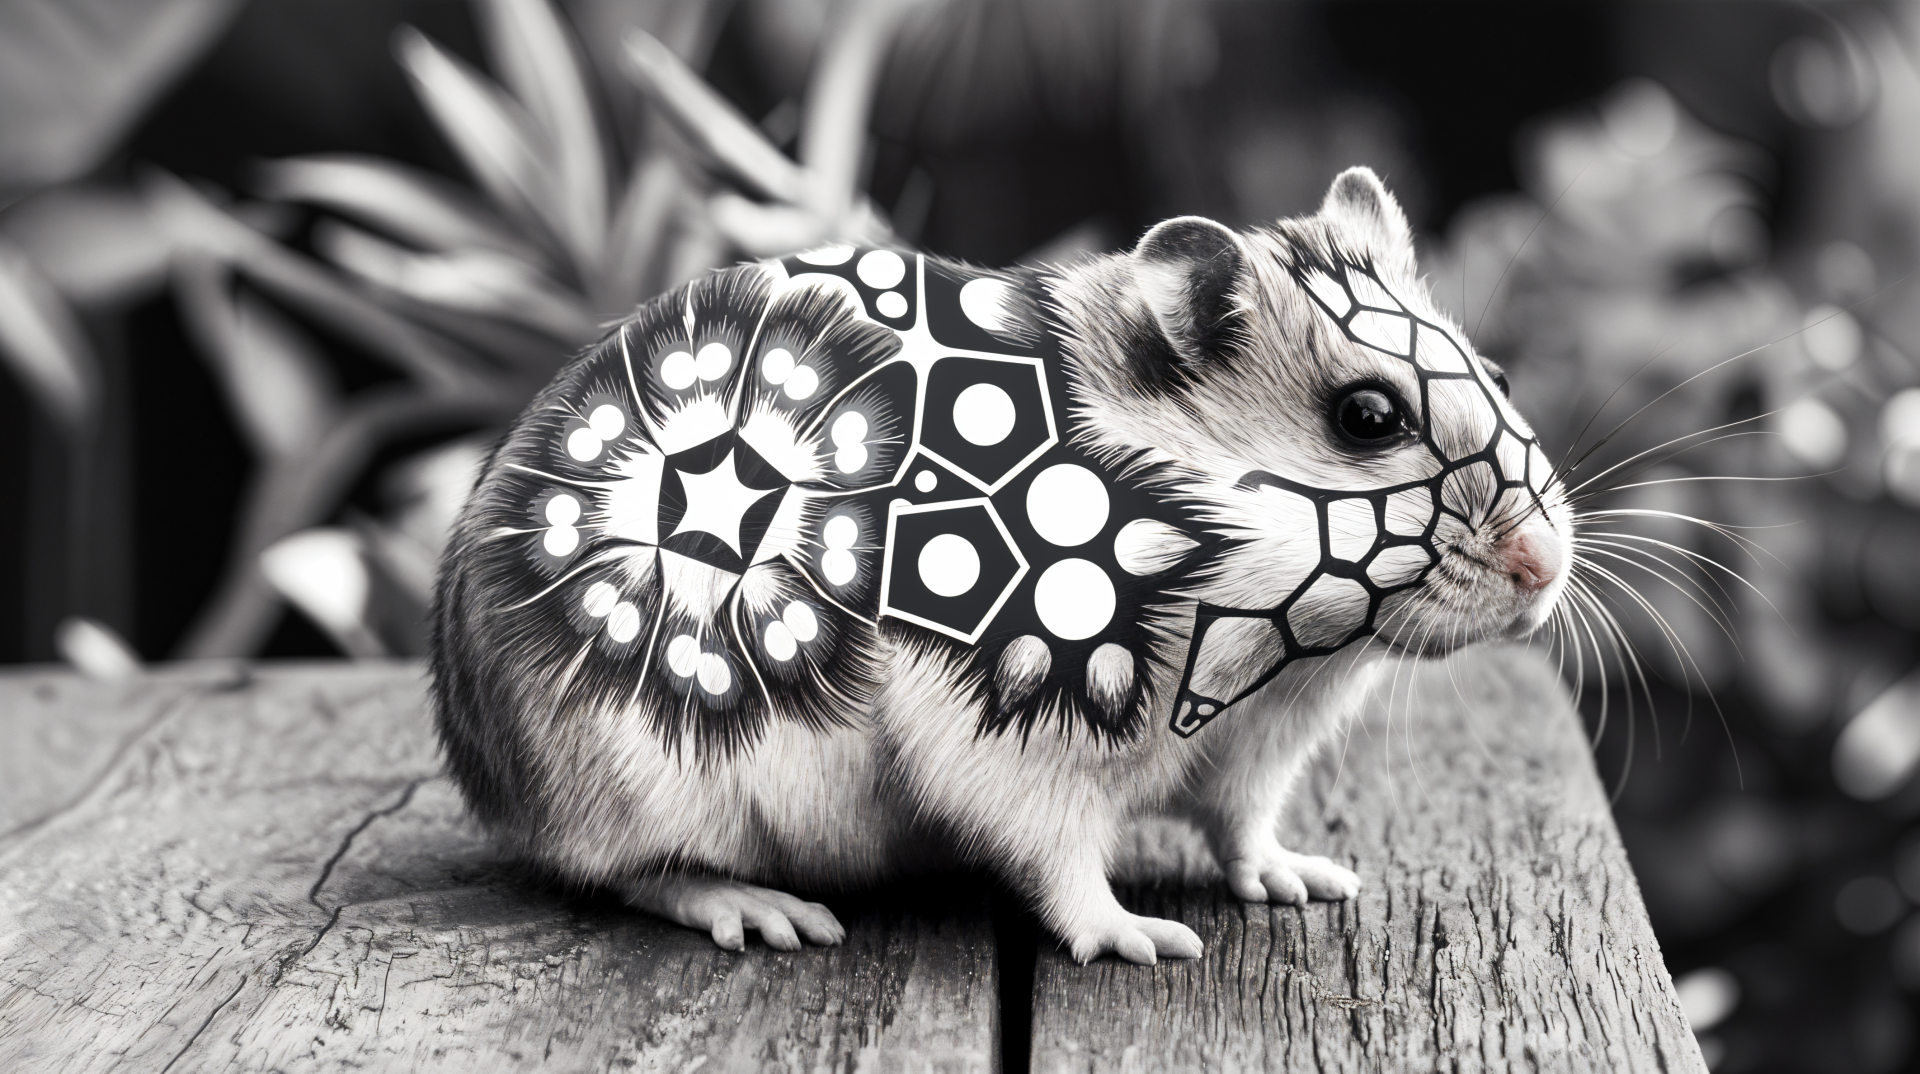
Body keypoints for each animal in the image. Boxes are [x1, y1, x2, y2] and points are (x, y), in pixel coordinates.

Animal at [430, 167, 1572, 963]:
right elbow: (1064, 867)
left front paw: (1315, 881)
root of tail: (488, 775)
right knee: (632, 875)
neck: (1273, 653)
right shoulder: (1015, 744)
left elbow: (1244, 831)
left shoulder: (1258, 749)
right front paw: (1149, 942)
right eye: (1367, 417)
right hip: (646, 782)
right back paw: (773, 915)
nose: (1544, 570)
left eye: (1501, 375)